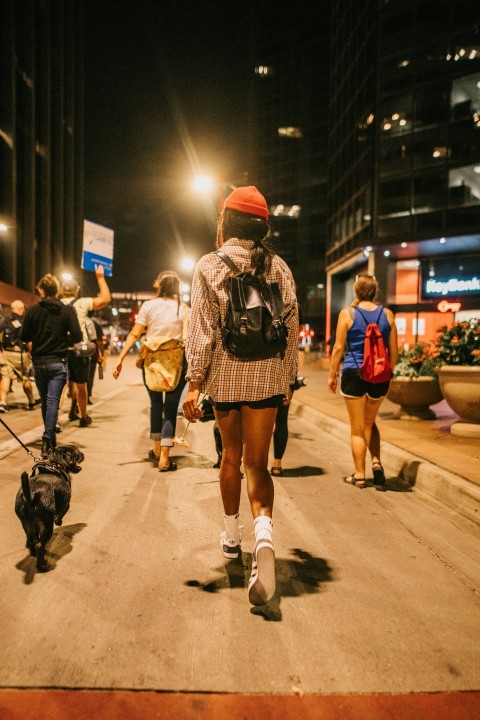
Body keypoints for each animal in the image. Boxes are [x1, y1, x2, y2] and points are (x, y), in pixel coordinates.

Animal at [15, 442, 84, 572]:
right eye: (76, 453)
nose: (82, 454)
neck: (55, 464)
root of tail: (30, 496)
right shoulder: (66, 504)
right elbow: (60, 515)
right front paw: (59, 522)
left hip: (26, 523)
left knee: (31, 541)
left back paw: (34, 554)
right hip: (46, 525)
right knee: (39, 544)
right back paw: (42, 565)